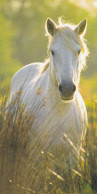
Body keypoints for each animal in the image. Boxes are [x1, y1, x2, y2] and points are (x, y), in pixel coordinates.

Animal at [7, 17, 89, 164]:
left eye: (78, 51)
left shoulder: (72, 156)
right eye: (53, 51)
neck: (61, 112)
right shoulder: (37, 154)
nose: (67, 89)